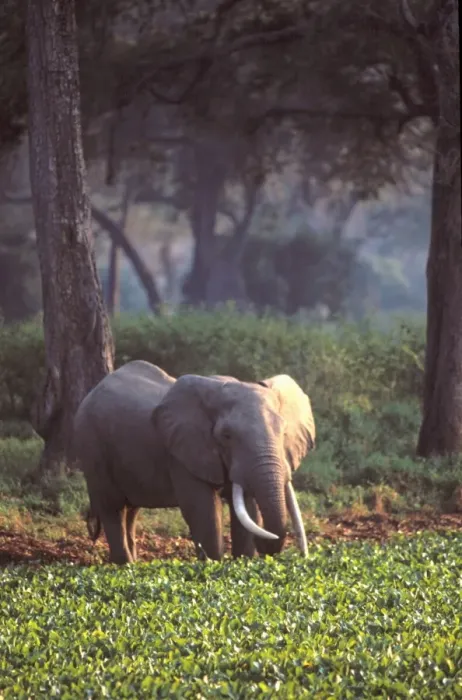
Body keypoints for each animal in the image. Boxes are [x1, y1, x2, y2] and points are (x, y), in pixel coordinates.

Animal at [72, 360, 316, 564]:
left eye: (283, 431)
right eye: (226, 435)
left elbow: (247, 506)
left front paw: (243, 561)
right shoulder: (182, 451)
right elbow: (202, 508)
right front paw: (214, 564)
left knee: (131, 510)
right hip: (91, 445)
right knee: (112, 507)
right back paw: (125, 566)